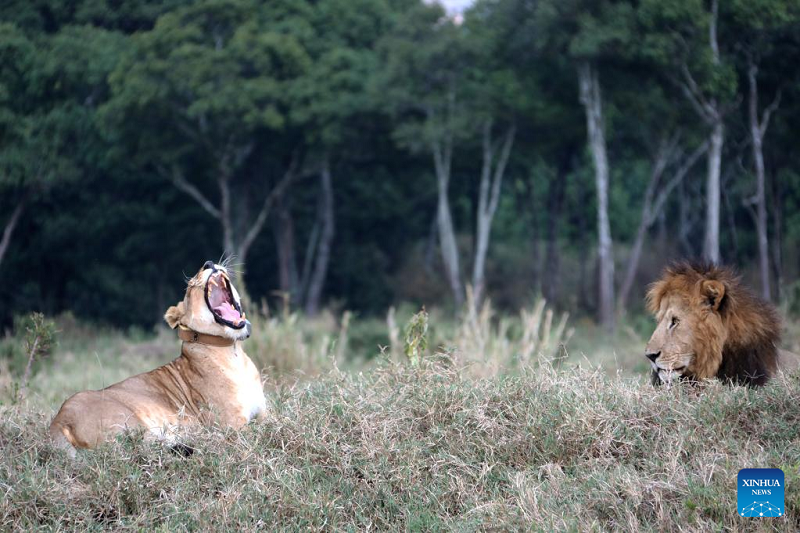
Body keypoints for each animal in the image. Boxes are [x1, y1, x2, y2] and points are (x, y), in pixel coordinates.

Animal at [50, 260, 268, 456]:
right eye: (190, 287)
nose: (209, 263)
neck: (233, 352)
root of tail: (58, 421)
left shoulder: (263, 413)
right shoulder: (232, 425)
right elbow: (260, 432)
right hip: (130, 421)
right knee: (139, 448)